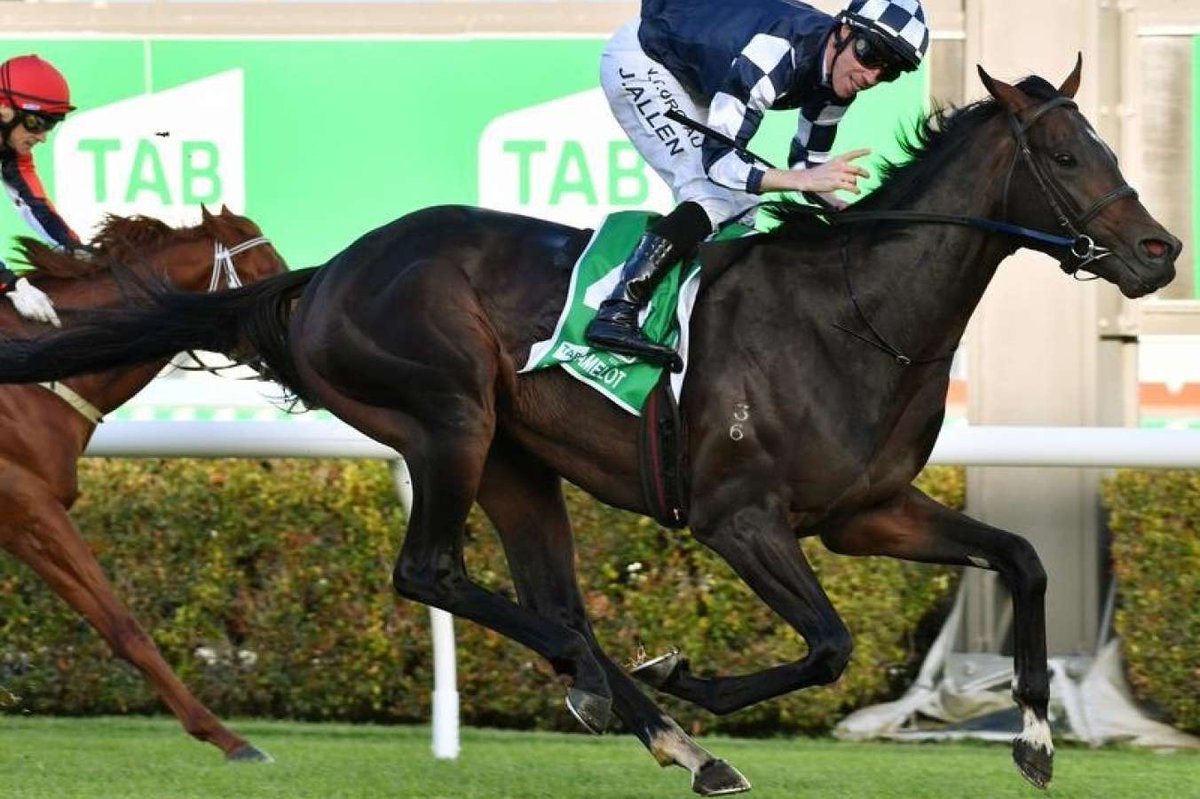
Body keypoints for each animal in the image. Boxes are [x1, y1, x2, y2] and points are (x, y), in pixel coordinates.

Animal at [0, 206, 288, 761]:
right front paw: (230, 738)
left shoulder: (23, 520)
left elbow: (112, 624)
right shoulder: (30, 502)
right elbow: (126, 624)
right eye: (267, 274)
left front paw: (227, 737)